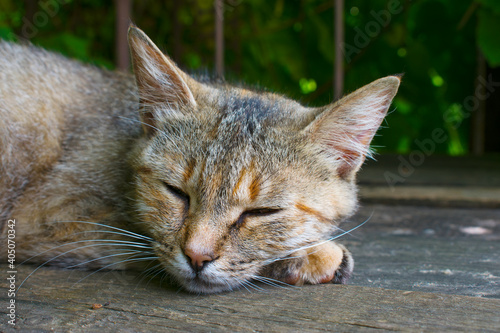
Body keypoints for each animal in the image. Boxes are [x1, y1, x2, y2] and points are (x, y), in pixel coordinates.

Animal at [0, 26, 398, 294]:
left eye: (262, 212)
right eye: (176, 192)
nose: (196, 257)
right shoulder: (45, 218)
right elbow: (136, 243)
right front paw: (311, 255)